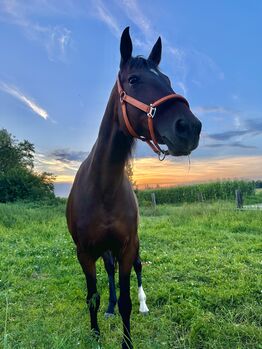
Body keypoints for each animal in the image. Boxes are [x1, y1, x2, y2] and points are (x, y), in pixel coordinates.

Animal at [66, 26, 202, 348]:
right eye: (134, 80)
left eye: (167, 80)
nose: (189, 127)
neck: (103, 188)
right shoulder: (84, 252)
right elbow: (93, 295)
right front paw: (96, 332)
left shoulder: (127, 247)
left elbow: (127, 299)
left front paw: (127, 338)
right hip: (104, 250)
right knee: (109, 272)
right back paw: (110, 307)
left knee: (138, 270)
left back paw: (143, 303)